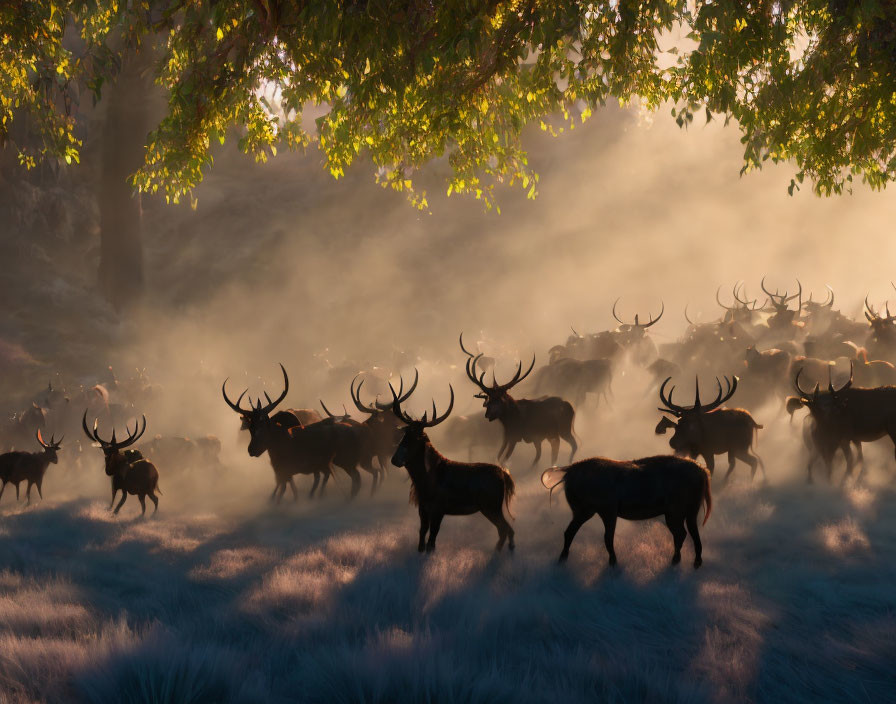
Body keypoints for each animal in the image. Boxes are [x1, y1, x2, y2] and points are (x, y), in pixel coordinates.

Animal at [388, 382, 516, 552]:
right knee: (506, 529)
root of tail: (504, 475)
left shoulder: (440, 508)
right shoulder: (423, 508)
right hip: (491, 506)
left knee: (505, 528)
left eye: (417, 438)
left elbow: (432, 539)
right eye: (405, 434)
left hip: (491, 505)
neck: (424, 482)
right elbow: (422, 535)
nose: (395, 459)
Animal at [540, 454, 712, 568]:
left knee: (682, 533)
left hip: (676, 510)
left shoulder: (608, 510)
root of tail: (702, 472)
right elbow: (603, 536)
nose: (571, 493)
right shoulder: (599, 510)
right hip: (687, 510)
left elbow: (607, 537)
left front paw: (613, 564)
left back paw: (680, 560)